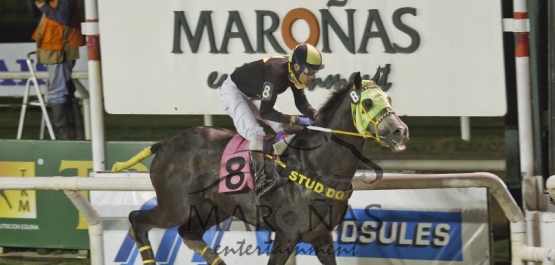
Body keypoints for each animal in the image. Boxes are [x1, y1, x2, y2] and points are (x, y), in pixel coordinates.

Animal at [114, 71, 408, 262]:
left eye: (390, 100)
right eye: (368, 102)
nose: (400, 131)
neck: (316, 166)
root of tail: (164, 144)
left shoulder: (322, 236)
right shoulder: (286, 235)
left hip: (211, 207)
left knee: (188, 233)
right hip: (175, 206)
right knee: (137, 220)